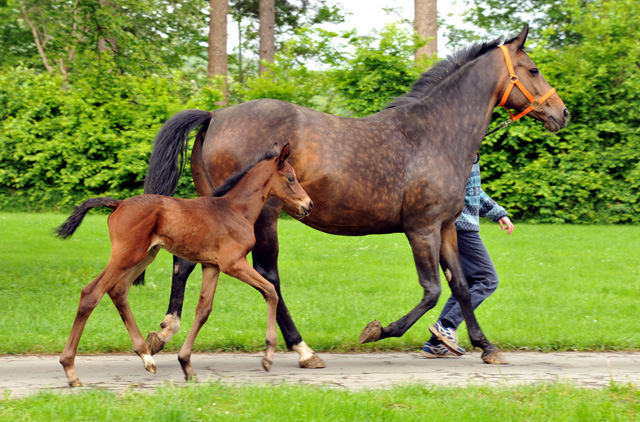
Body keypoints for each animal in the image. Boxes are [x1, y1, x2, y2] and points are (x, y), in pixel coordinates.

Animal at [56, 143, 312, 388]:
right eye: (291, 178)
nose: (308, 205)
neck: (236, 210)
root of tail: (119, 204)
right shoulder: (233, 263)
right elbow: (270, 290)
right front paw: (268, 356)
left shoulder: (212, 266)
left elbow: (203, 310)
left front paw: (186, 365)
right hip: (127, 256)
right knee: (92, 292)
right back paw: (70, 370)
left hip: (145, 256)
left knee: (118, 291)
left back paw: (147, 358)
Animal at [139, 25, 564, 366]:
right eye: (533, 70)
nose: (563, 113)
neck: (435, 133)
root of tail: (215, 116)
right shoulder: (421, 227)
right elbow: (431, 290)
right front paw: (377, 330)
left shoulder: (445, 228)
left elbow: (459, 285)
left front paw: (485, 346)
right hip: (265, 215)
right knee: (268, 275)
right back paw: (302, 349)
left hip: (215, 208)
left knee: (185, 263)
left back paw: (163, 332)